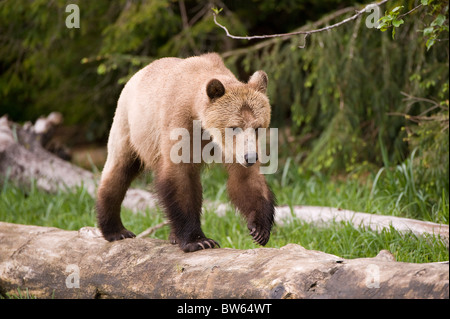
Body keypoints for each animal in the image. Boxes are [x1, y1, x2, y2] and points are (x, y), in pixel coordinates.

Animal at [96, 53, 276, 252]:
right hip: (131, 127)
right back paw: (116, 230)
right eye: (234, 127)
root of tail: (136, 75)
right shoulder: (179, 123)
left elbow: (246, 180)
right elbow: (180, 180)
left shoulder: (232, 149)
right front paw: (198, 240)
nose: (250, 157)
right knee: (119, 171)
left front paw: (259, 229)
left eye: (258, 127)